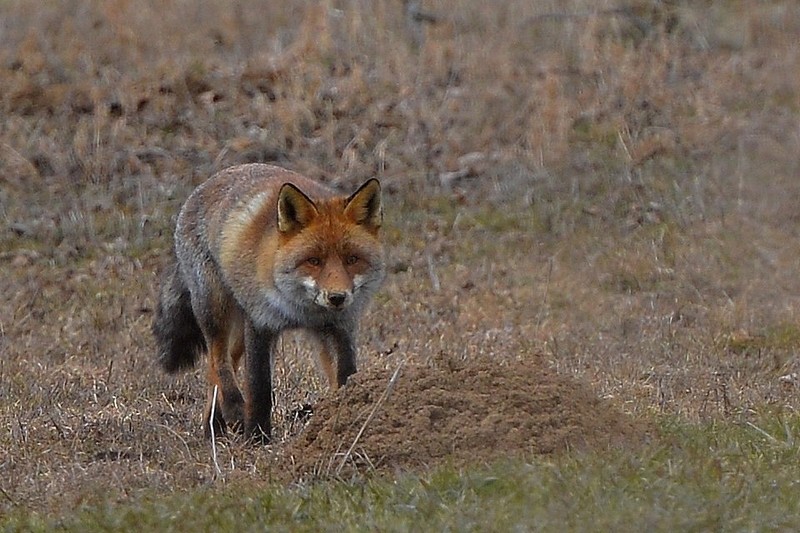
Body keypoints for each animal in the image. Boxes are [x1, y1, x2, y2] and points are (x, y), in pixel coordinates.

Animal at [152, 163, 385, 442]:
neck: (303, 312)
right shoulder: (261, 323)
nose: (337, 297)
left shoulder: (338, 327)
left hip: (239, 327)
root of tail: (212, 179)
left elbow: (345, 375)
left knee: (221, 365)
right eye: (313, 261)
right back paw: (232, 410)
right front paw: (257, 437)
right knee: (218, 359)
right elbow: (259, 387)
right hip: (216, 308)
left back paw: (214, 425)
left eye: (352, 259)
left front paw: (346, 416)